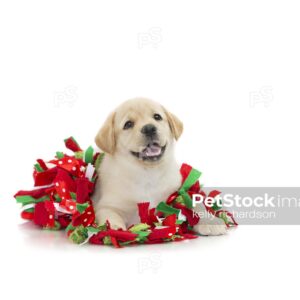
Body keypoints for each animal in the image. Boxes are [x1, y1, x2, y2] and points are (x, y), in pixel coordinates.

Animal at [92, 97, 226, 236]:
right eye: (128, 124)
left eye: (157, 117)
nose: (149, 128)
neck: (148, 172)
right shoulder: (107, 205)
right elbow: (110, 215)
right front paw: (116, 231)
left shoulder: (175, 194)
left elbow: (195, 203)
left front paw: (211, 221)